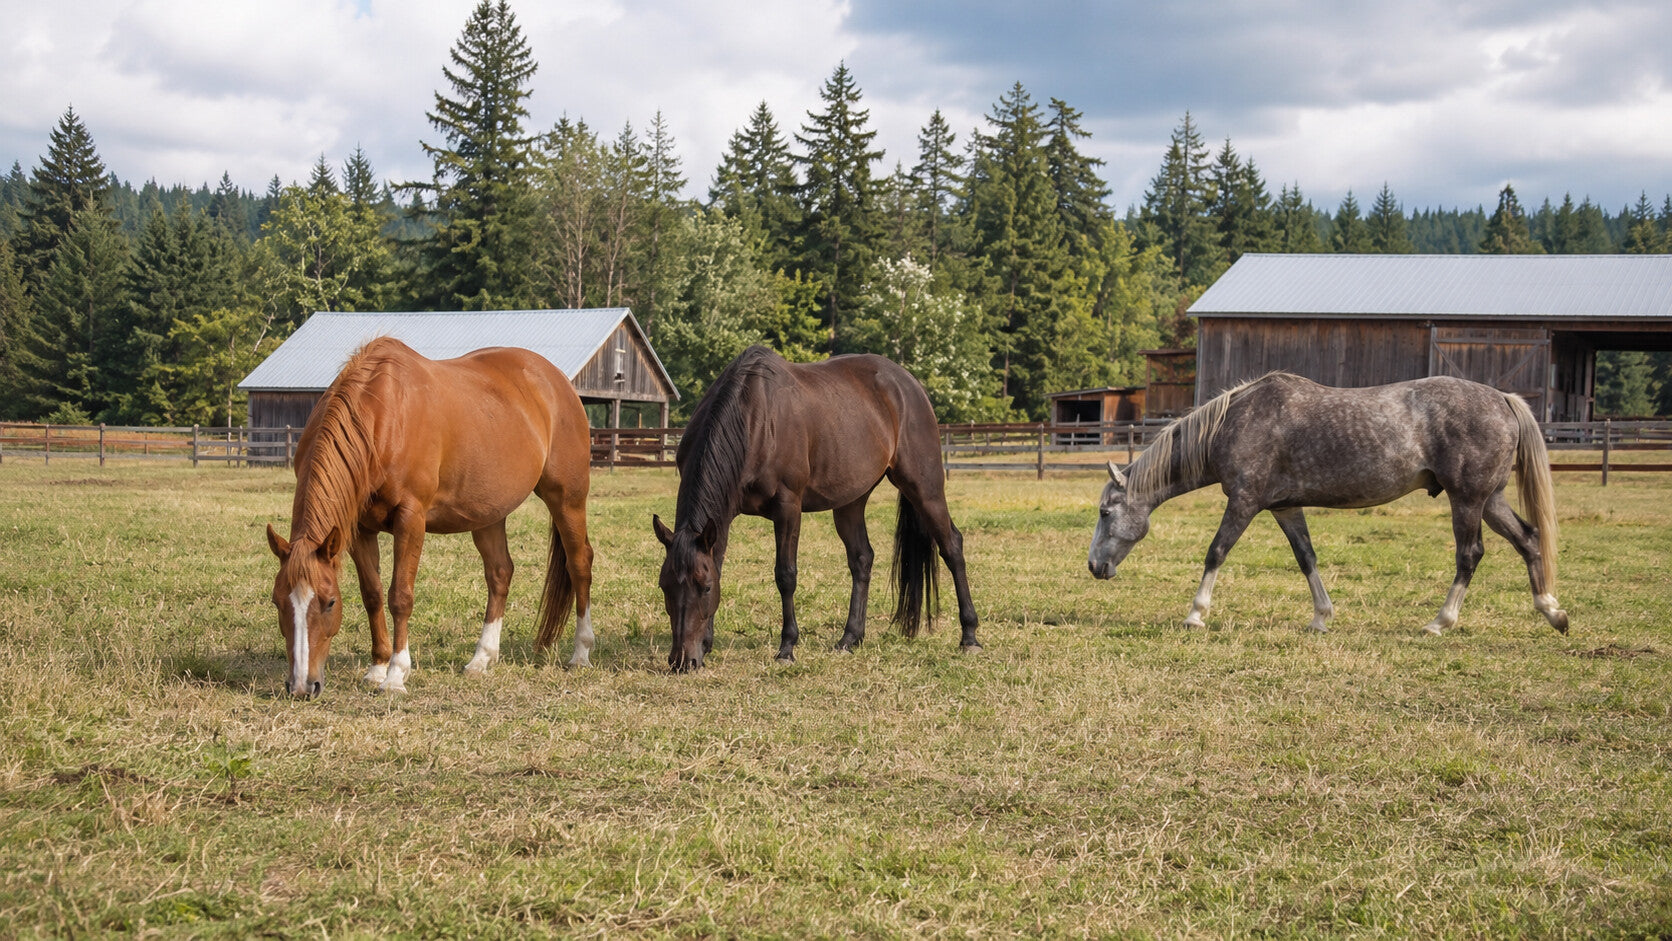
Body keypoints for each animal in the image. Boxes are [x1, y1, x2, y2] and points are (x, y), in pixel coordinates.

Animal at [265, 337, 595, 698]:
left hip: (566, 499)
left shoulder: (411, 519)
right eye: (277, 602)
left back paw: (581, 652)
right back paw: (481, 658)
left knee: (579, 563)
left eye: (329, 602)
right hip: (488, 513)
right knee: (500, 573)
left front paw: (396, 675)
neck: (381, 419)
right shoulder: (359, 529)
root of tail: (557, 381)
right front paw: (377, 669)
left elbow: (400, 596)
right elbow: (373, 595)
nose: (301, 686)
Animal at [652, 345, 980, 671]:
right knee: (862, 559)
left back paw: (969, 636)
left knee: (952, 546)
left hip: (924, 488)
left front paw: (787, 647)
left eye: (705, 588)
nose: (682, 661)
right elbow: (719, 563)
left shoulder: (788, 507)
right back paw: (850, 638)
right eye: (664, 586)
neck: (754, 419)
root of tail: (909, 384)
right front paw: (707, 645)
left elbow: (785, 575)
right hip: (850, 501)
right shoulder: (721, 519)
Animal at [1087, 372, 1568, 637]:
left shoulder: (1244, 502)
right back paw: (1551, 610)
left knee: (1469, 555)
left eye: (1105, 513)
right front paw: (1321, 617)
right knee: (1529, 540)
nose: (1094, 567)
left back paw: (1440, 621)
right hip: (1490, 500)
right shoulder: (1284, 507)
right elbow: (1307, 558)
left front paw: (1195, 614)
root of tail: (1503, 399)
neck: (1234, 422)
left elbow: (1216, 552)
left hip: (1466, 500)